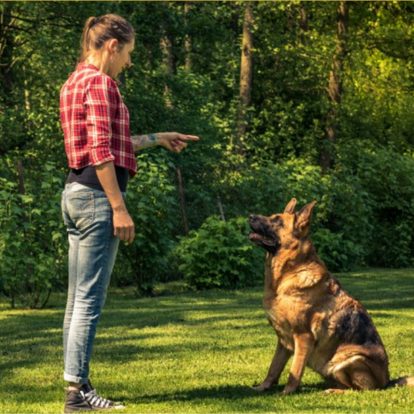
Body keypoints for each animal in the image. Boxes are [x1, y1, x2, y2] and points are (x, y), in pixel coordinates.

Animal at [247, 199, 412, 392]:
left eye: (277, 221)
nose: (250, 216)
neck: (286, 276)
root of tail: (386, 382)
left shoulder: (303, 337)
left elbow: (294, 370)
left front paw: (287, 392)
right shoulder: (283, 342)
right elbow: (274, 368)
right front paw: (262, 388)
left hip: (349, 360)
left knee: (359, 390)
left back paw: (334, 390)